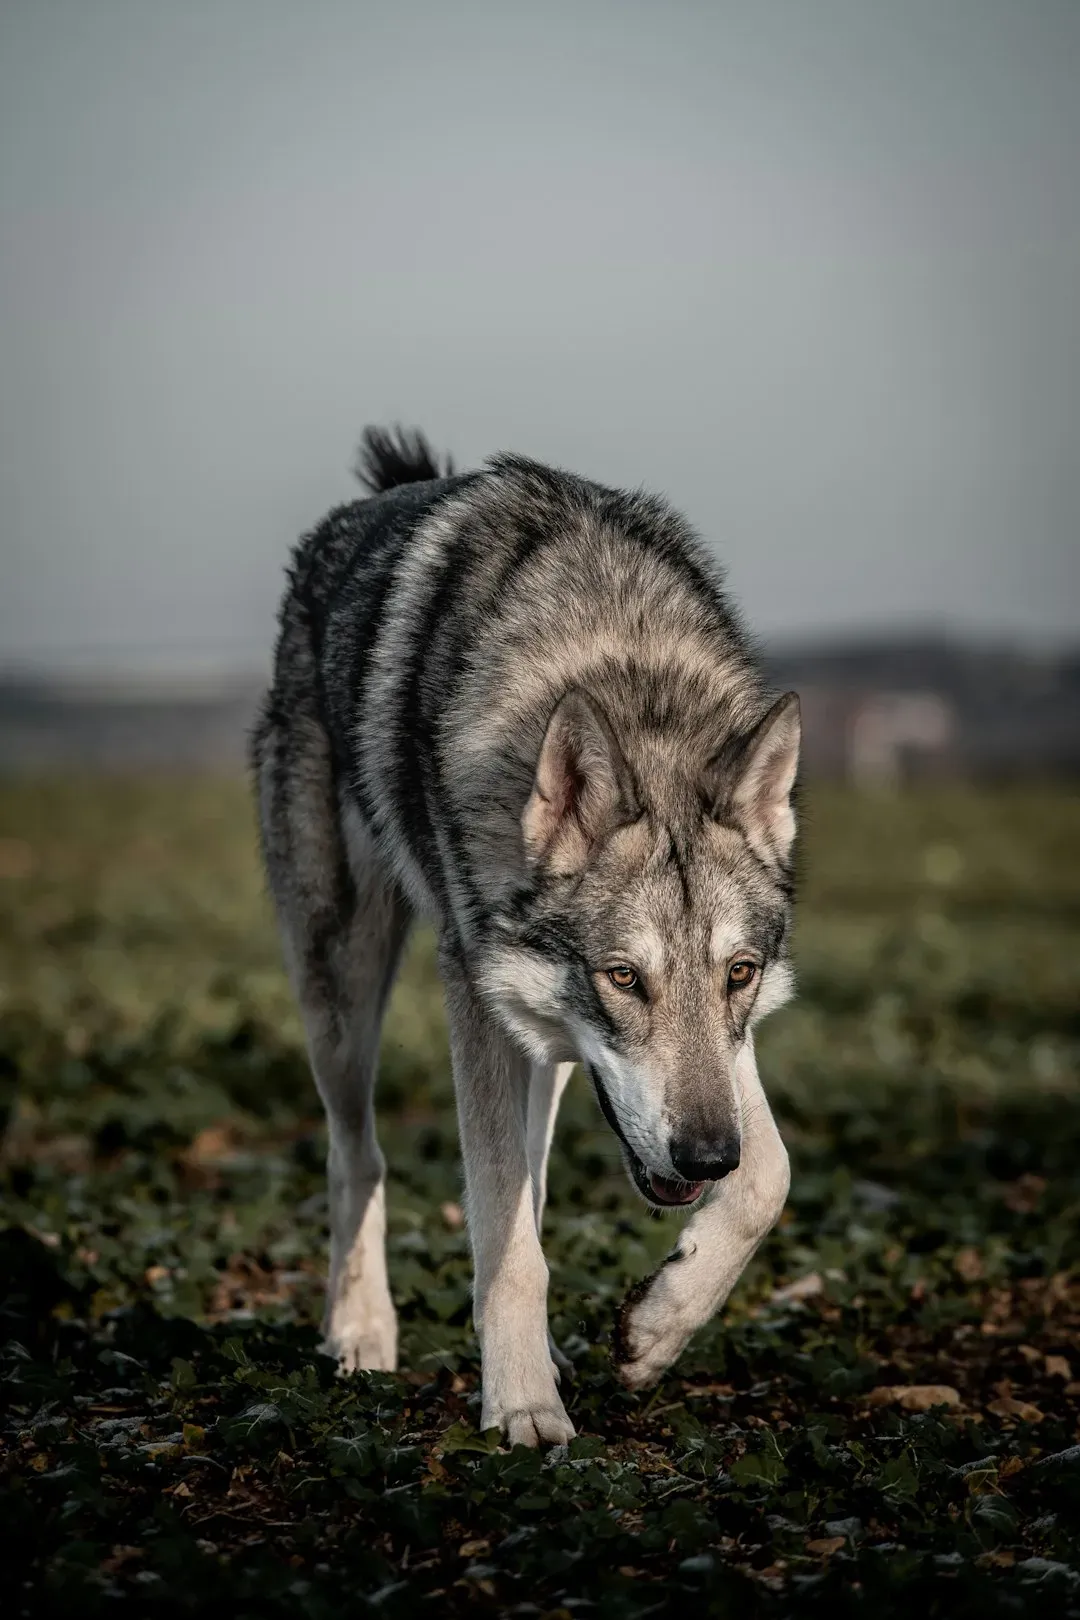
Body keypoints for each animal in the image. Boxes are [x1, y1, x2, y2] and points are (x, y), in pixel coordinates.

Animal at [252, 426, 799, 1447]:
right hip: (342, 989)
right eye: (623, 977)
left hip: (539, 1045)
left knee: (530, 1186)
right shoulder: (473, 994)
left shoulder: (709, 1060)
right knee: (358, 1155)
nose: (706, 1156)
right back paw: (360, 1331)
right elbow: (504, 1242)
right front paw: (521, 1407)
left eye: (740, 974)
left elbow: (771, 1176)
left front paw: (655, 1330)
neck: (623, 670)